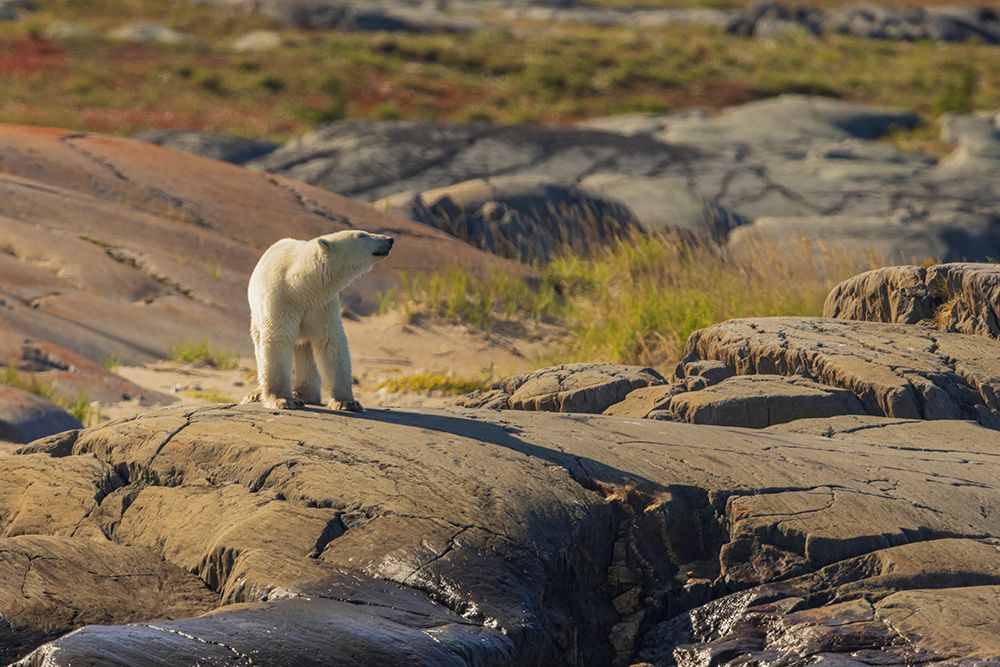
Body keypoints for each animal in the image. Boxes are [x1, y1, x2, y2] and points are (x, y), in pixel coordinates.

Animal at [241, 229, 394, 412]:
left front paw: (347, 402)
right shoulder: (280, 300)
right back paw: (257, 394)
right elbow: (277, 339)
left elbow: (330, 342)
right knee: (260, 346)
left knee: (306, 348)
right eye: (361, 235)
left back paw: (303, 394)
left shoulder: (322, 305)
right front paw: (283, 400)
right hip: (256, 316)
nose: (390, 239)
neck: (299, 287)